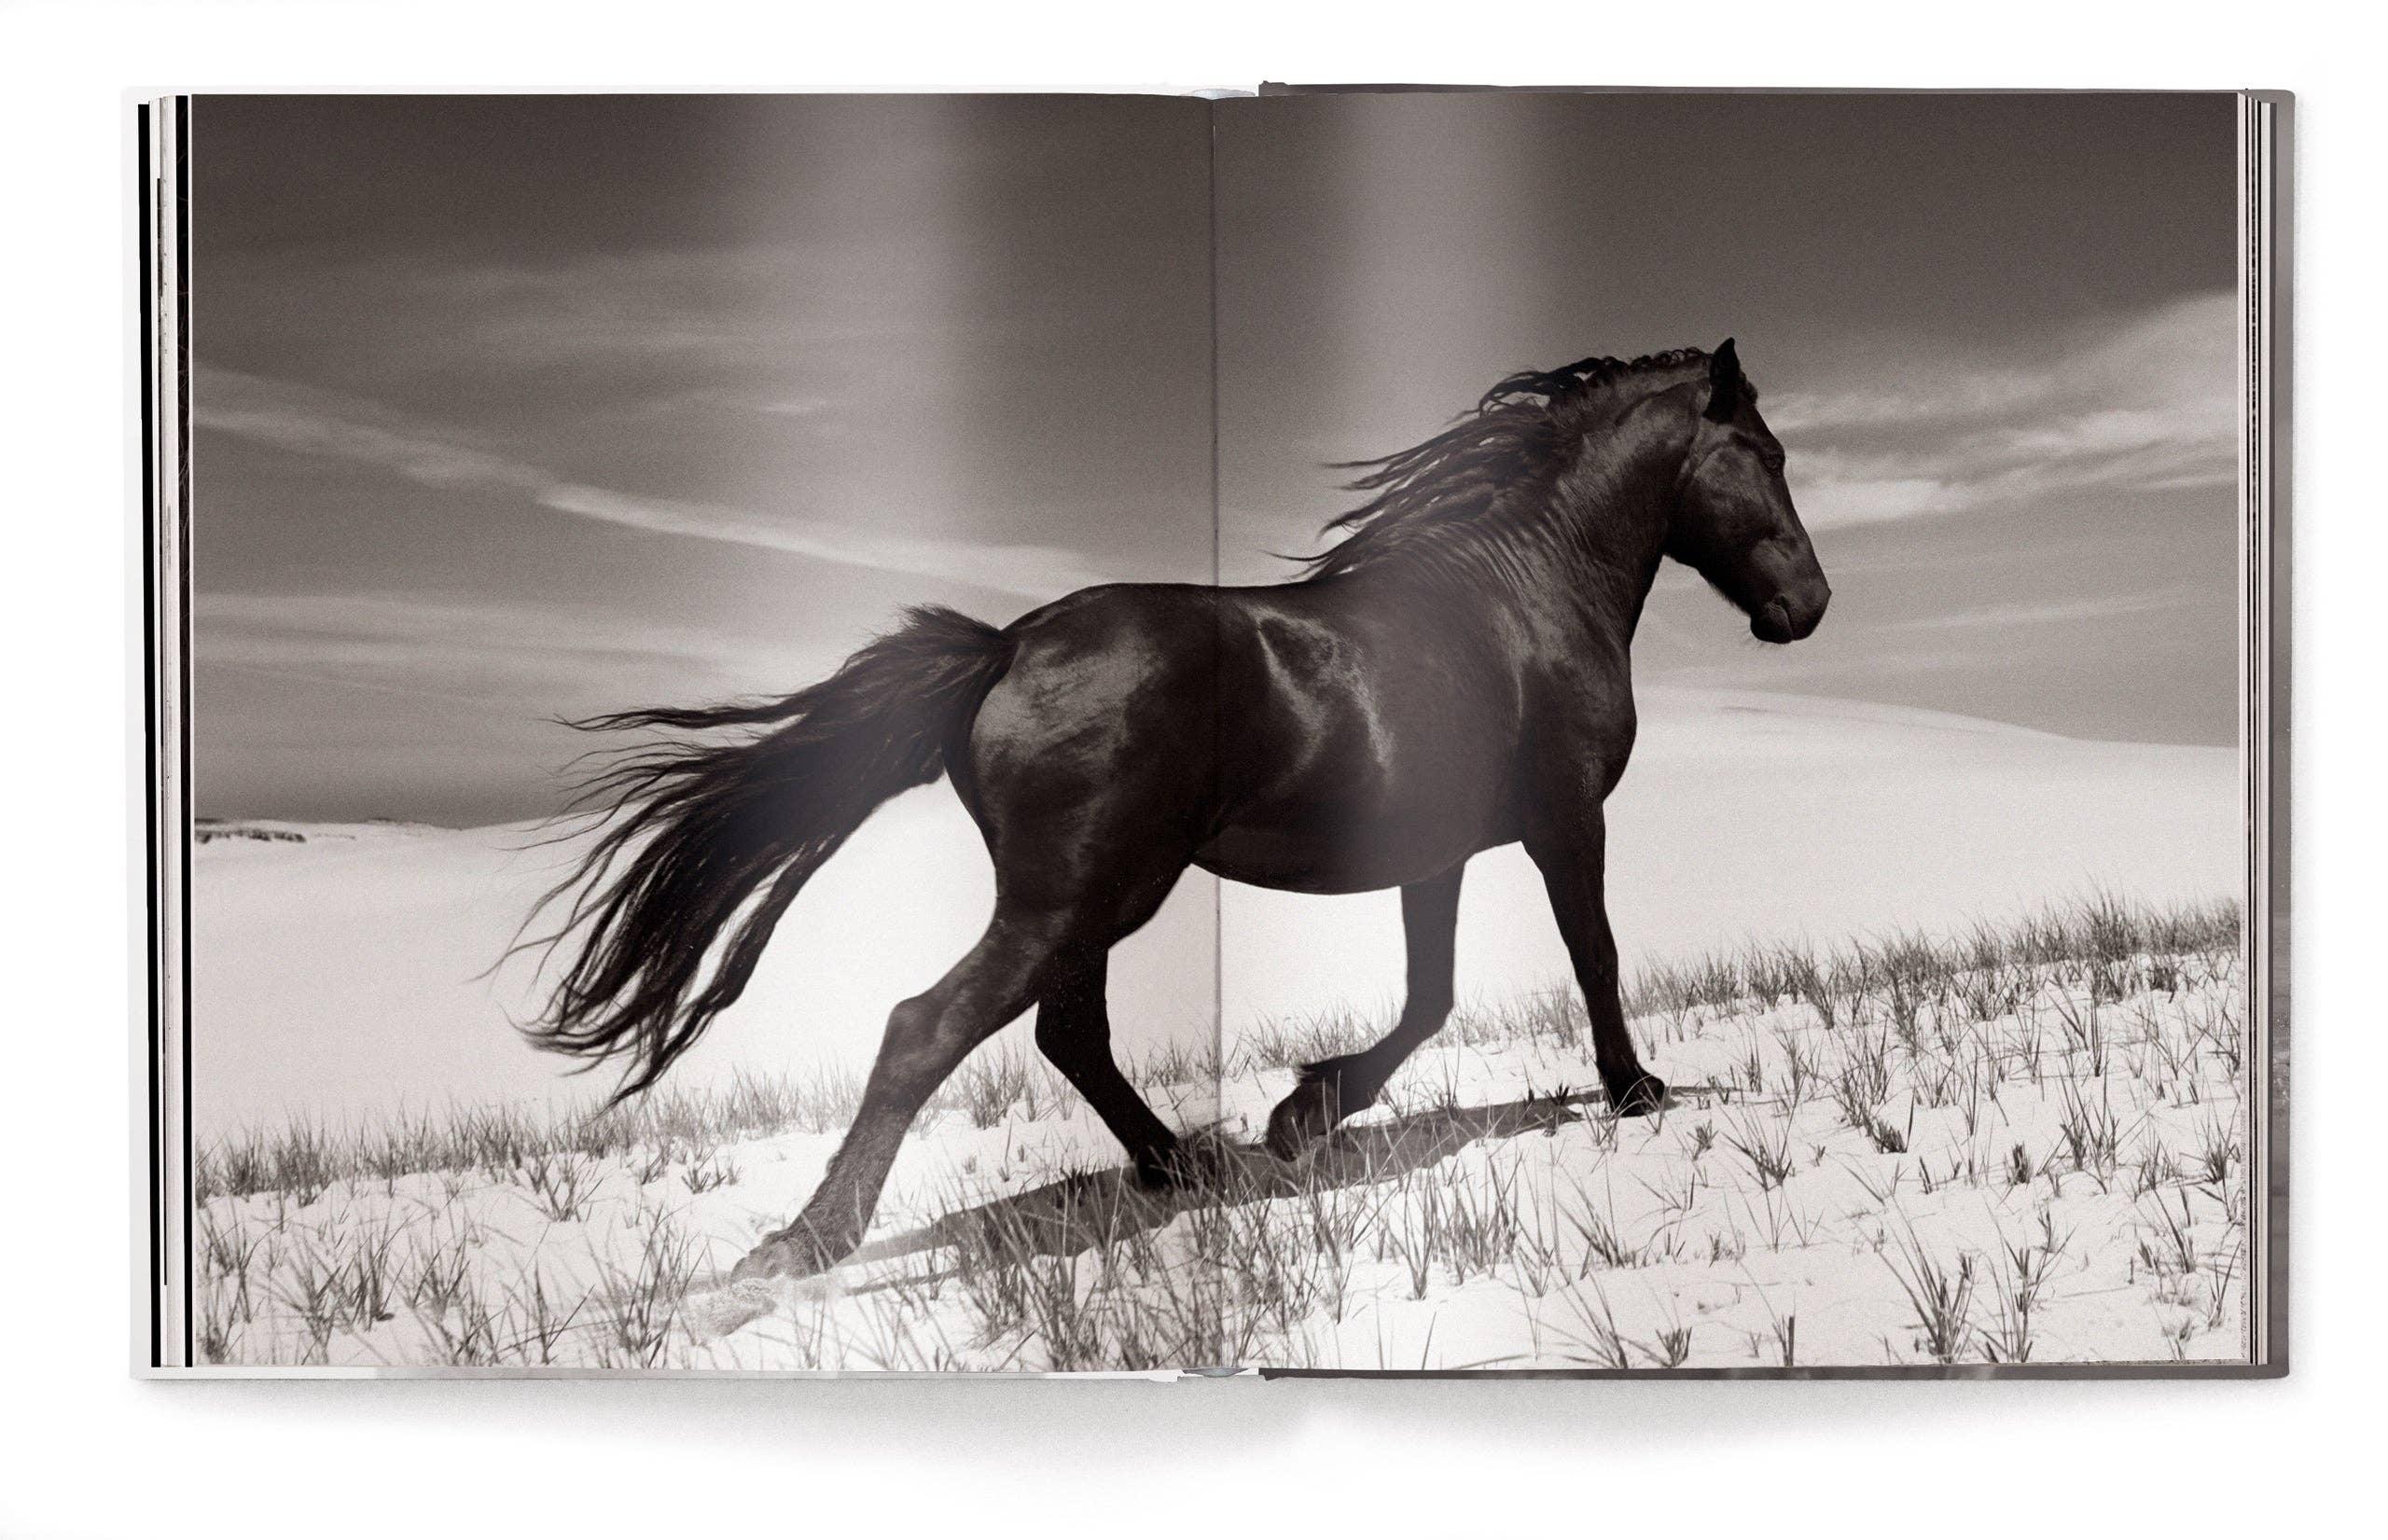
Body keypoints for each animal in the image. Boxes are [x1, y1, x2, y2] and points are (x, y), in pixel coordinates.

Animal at [525, 339, 1830, 1281]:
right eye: (1764, 453)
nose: (1808, 606)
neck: (1522, 595)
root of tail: (1003, 649)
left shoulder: (1436, 854)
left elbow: (1432, 993)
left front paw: (1303, 1113)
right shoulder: (1565, 821)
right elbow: (1590, 956)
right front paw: (1635, 1089)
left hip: (1093, 897)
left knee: (1067, 1036)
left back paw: (1179, 1165)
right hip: (1080, 894)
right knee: (924, 1029)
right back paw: (806, 1241)